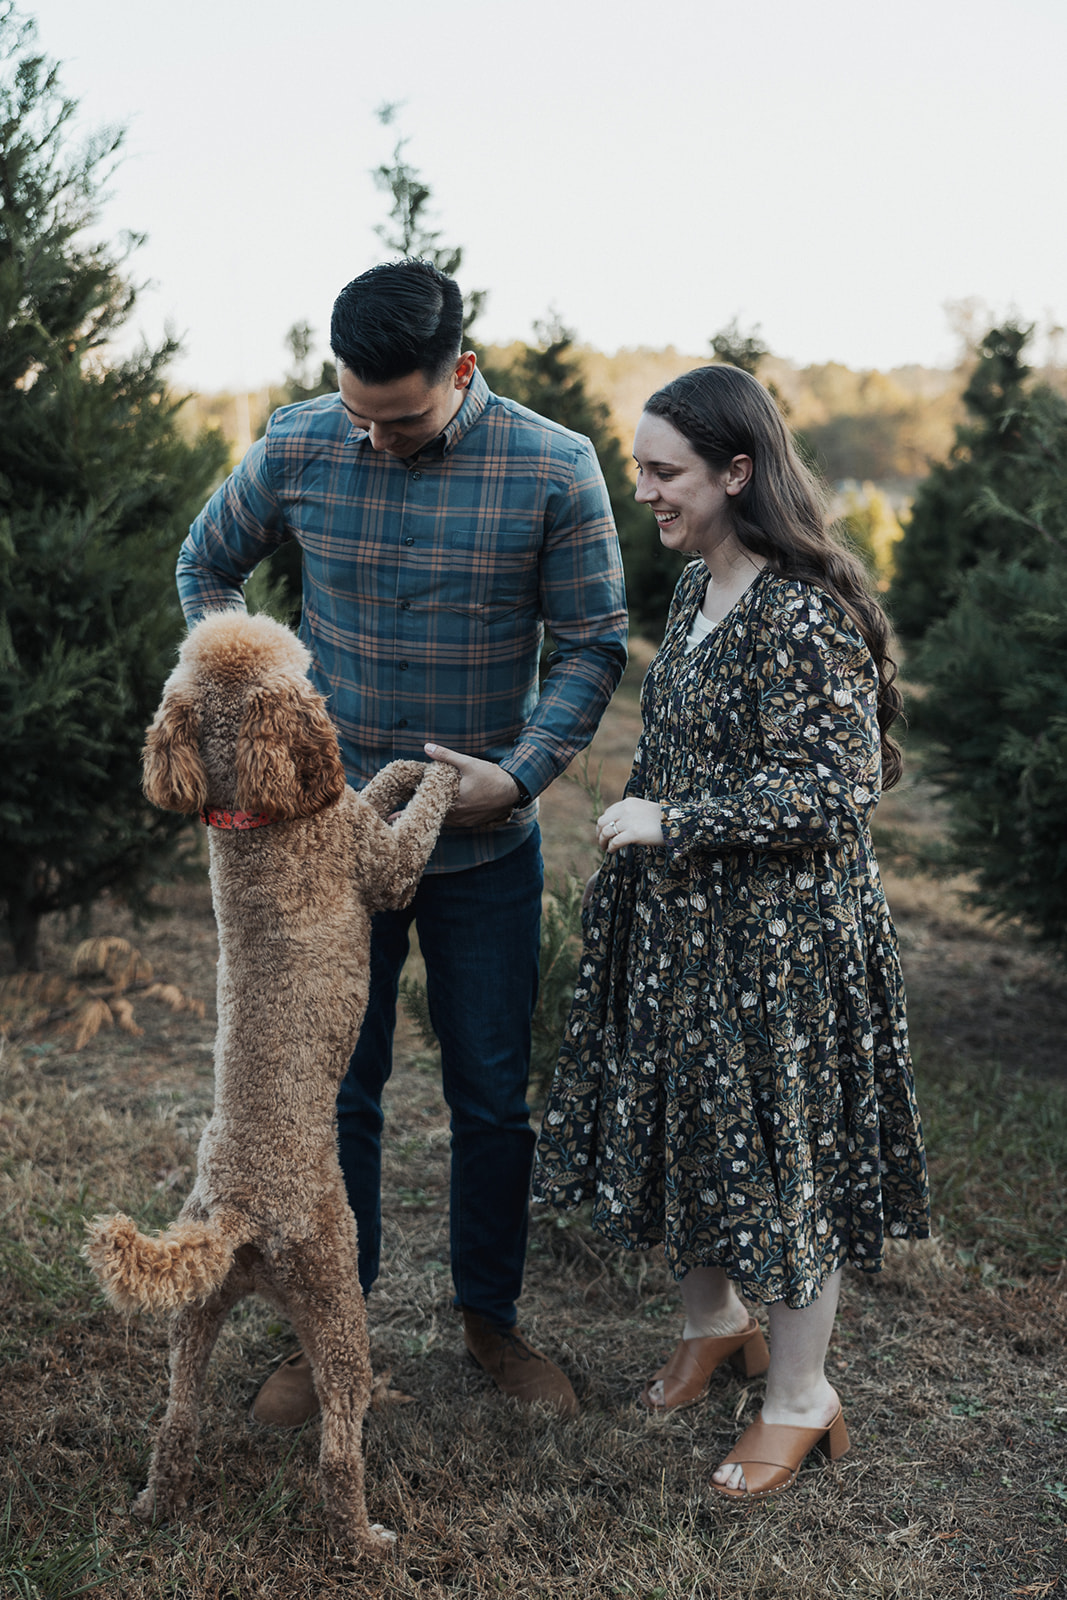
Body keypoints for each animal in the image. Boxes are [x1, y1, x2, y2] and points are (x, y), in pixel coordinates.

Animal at [85, 608, 460, 1548]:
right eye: (297, 665)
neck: (250, 813)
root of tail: (238, 1217)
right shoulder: (378, 864)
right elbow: (404, 814)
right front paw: (430, 765)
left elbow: (369, 790)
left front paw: (399, 764)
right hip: (335, 1296)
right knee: (338, 1443)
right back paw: (364, 1538)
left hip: (194, 1315)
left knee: (177, 1420)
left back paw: (156, 1504)